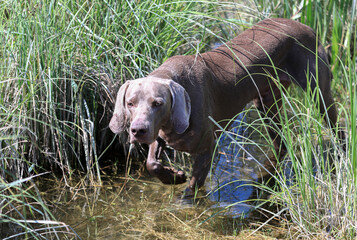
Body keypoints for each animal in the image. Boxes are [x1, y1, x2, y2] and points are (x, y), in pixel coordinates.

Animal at [108, 17, 336, 192]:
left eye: (158, 103)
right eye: (130, 103)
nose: (138, 130)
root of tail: (306, 26)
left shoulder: (206, 149)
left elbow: (192, 188)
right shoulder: (160, 134)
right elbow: (151, 163)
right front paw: (174, 176)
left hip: (318, 91)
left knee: (335, 124)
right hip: (266, 101)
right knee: (280, 142)